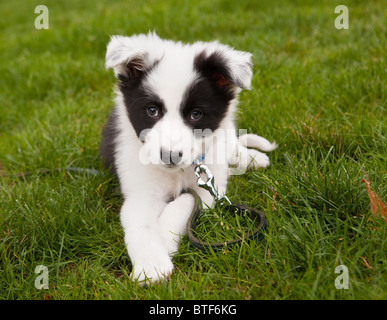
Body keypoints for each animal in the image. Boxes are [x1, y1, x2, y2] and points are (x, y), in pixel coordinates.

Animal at [100, 31, 276, 284]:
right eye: (152, 111)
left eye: (196, 114)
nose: (170, 155)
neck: (177, 173)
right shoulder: (141, 193)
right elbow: (141, 225)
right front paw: (151, 266)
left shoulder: (209, 189)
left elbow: (185, 201)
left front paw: (164, 237)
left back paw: (252, 158)